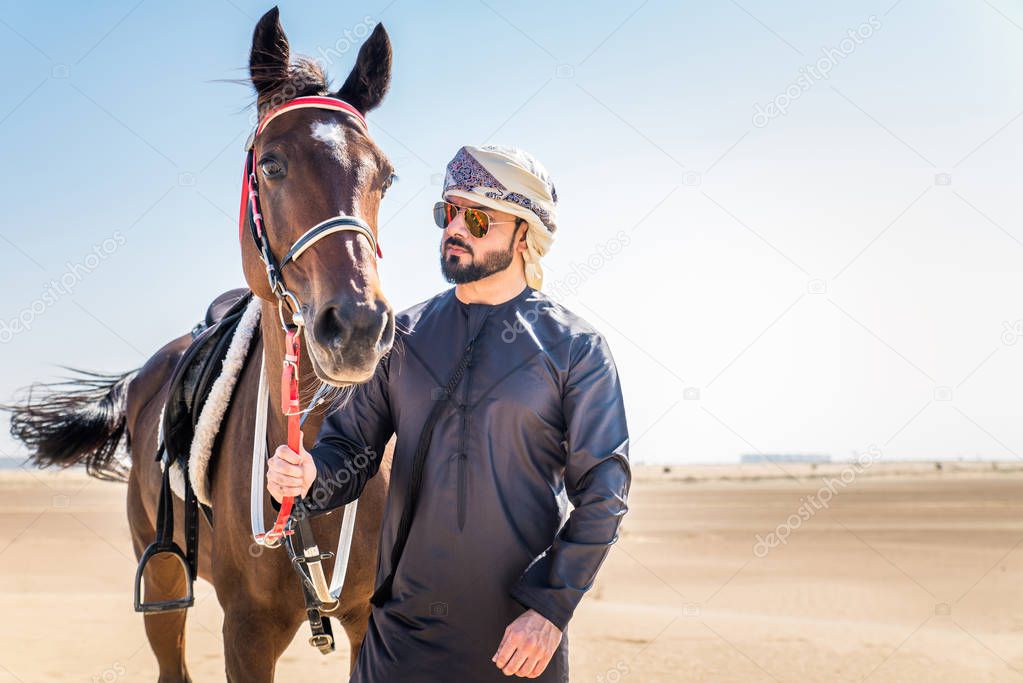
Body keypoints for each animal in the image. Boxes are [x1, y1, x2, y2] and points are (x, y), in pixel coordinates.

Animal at [7, 7, 398, 678]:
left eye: (386, 176)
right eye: (271, 165)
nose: (357, 328)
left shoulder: (367, 622)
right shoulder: (247, 633)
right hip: (163, 583)